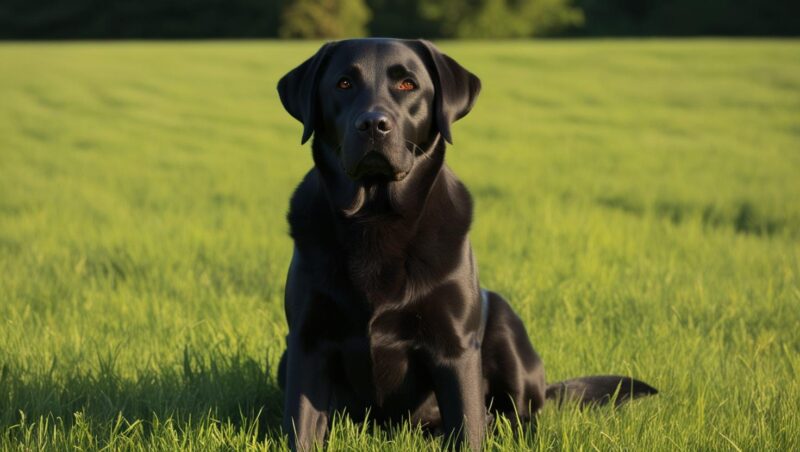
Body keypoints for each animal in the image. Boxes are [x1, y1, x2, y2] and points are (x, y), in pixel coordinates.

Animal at [276, 39, 656, 452]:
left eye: (408, 85)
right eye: (343, 84)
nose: (374, 124)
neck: (375, 219)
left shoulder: (455, 348)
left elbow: (468, 426)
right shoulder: (307, 344)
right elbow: (301, 428)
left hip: (505, 324)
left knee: (522, 416)